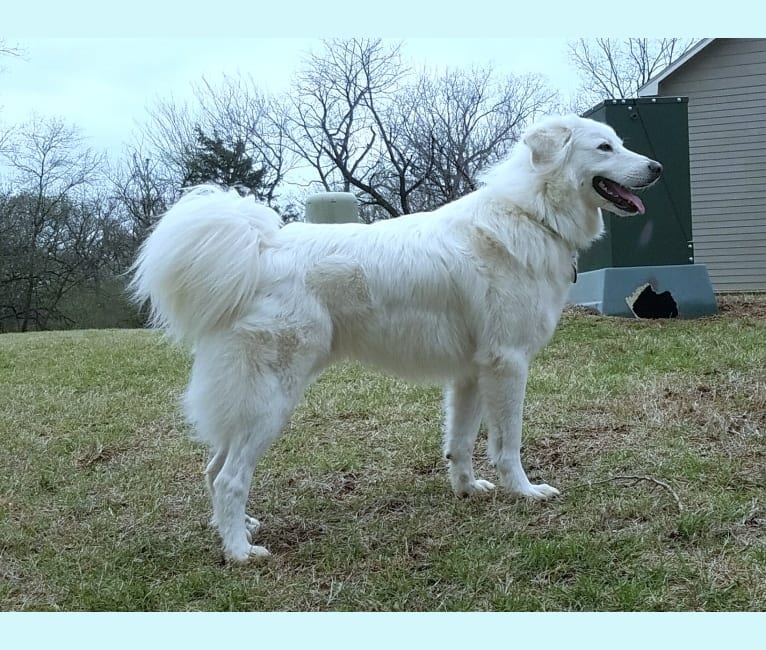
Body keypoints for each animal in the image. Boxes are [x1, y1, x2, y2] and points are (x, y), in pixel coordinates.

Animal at [130, 114, 660, 560]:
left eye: (621, 143)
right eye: (605, 147)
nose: (656, 167)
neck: (533, 213)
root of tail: (261, 248)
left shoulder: (471, 373)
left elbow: (460, 442)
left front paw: (467, 490)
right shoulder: (508, 364)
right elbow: (507, 445)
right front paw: (526, 492)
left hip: (249, 402)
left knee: (213, 470)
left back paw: (238, 530)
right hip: (271, 402)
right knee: (229, 479)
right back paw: (240, 552)